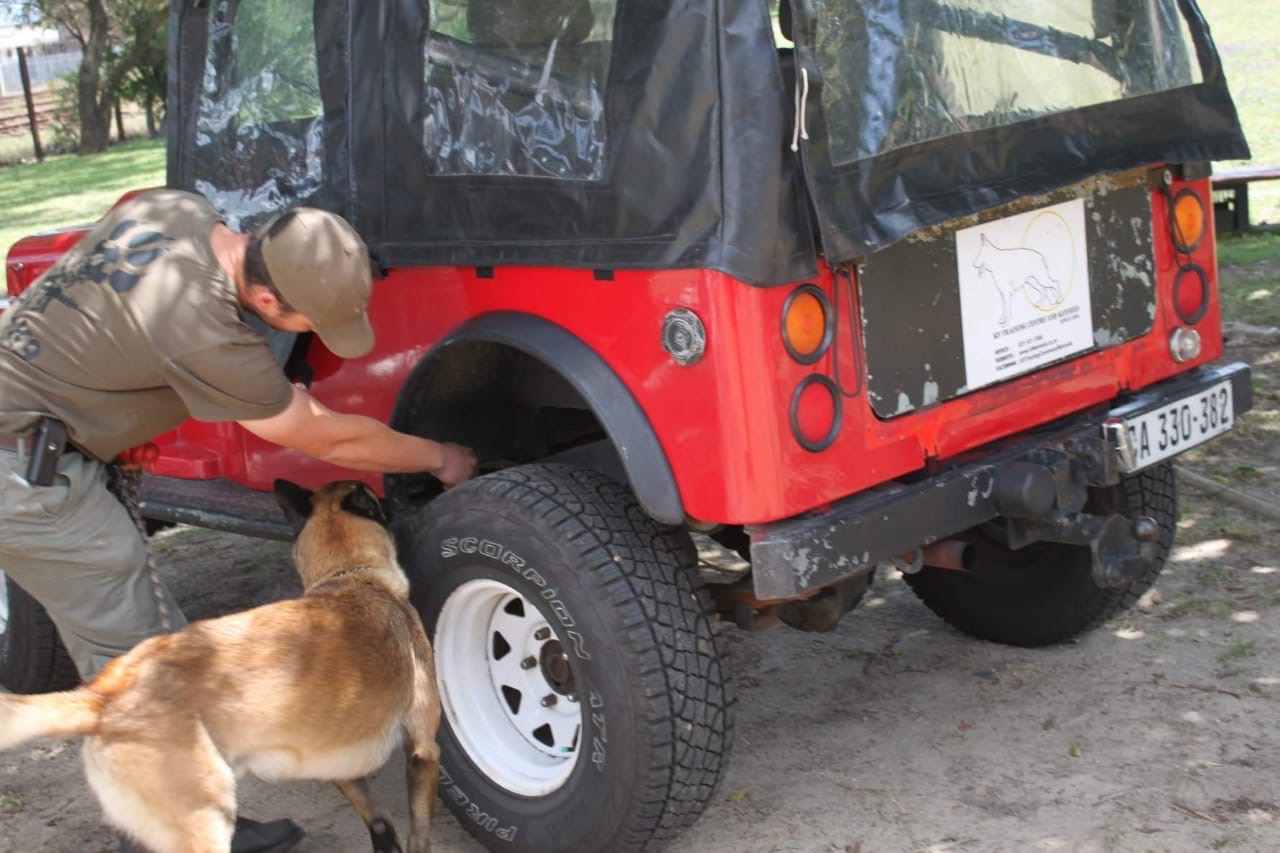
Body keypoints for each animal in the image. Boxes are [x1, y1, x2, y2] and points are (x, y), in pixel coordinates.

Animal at [0, 479, 440, 850]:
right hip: (204, 821)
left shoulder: (336, 763)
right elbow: (418, 832)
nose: (406, 494)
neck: (351, 576)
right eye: (375, 497)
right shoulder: (423, 751)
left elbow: (380, 823)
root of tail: (102, 694)